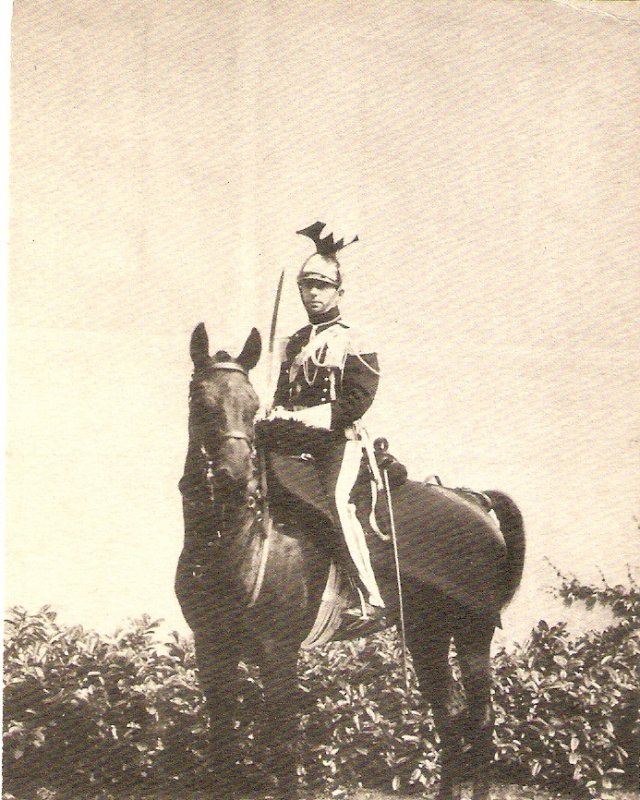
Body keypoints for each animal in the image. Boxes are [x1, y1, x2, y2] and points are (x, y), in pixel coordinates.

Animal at [174, 324, 524, 800]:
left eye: (252, 405)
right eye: (199, 399)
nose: (234, 477)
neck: (234, 540)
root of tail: (475, 501)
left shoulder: (277, 651)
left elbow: (283, 744)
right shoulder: (211, 647)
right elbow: (222, 743)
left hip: (473, 631)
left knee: (482, 721)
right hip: (427, 633)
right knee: (449, 716)